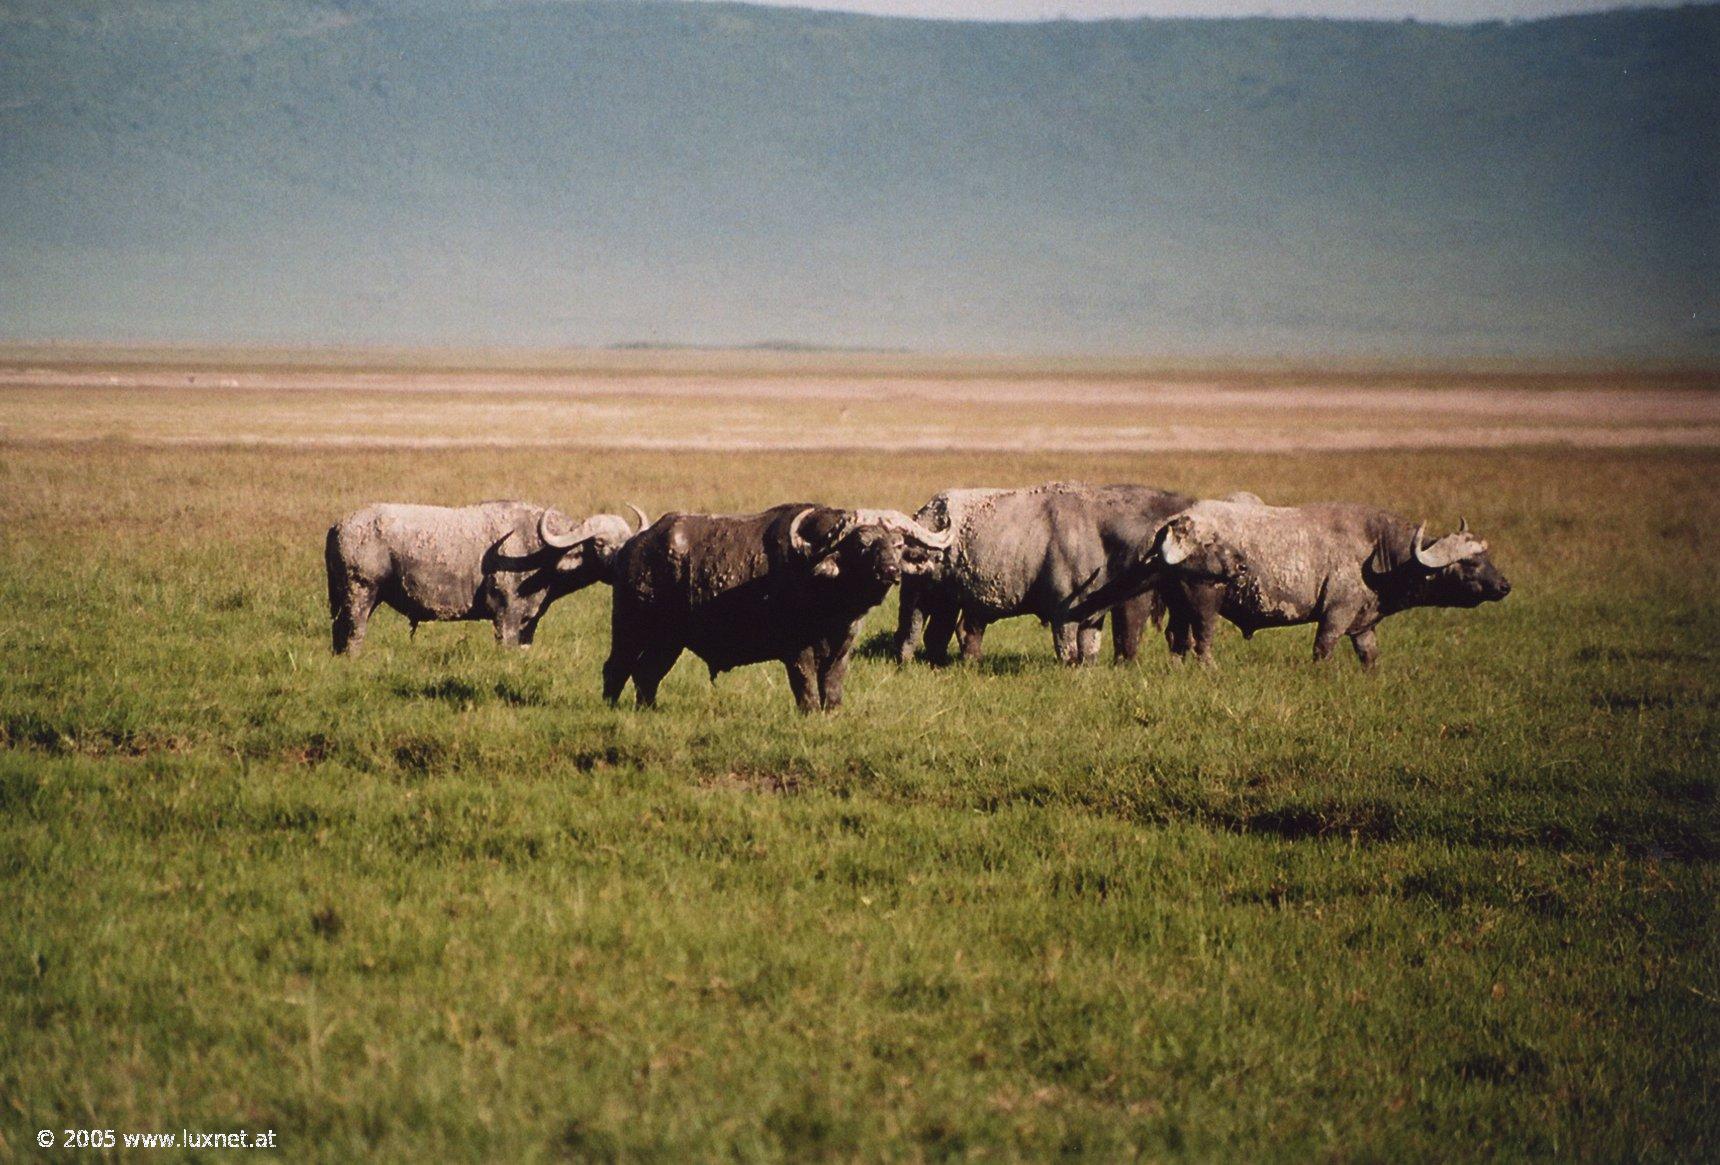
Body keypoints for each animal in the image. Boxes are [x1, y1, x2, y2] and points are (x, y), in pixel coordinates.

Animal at [323, 499, 646, 650]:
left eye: (627, 538)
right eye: (600, 543)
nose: (625, 561)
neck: (541, 551)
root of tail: (338, 526)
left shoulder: (529, 621)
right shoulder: (506, 616)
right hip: (361, 593)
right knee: (353, 633)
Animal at [605, 502, 956, 708]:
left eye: (897, 544)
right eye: (862, 545)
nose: (890, 571)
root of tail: (633, 546)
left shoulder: (844, 647)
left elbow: (832, 689)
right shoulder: (796, 650)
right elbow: (807, 690)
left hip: (668, 640)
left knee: (647, 674)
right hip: (630, 626)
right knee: (617, 667)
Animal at [887, 481, 1197, 664]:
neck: (1100, 535)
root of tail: (923, 514)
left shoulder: (1093, 617)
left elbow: (1089, 654)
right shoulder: (1063, 617)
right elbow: (1068, 653)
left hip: (948, 602)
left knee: (941, 635)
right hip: (917, 596)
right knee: (910, 633)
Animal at [1073, 495, 1506, 667]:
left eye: (1486, 556)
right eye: (1469, 563)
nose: (1505, 586)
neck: (1379, 551)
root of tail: (1171, 525)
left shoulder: (1363, 624)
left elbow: (1369, 656)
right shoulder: (1336, 614)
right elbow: (1323, 649)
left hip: (1179, 606)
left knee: (1179, 642)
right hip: (1204, 601)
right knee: (1202, 640)